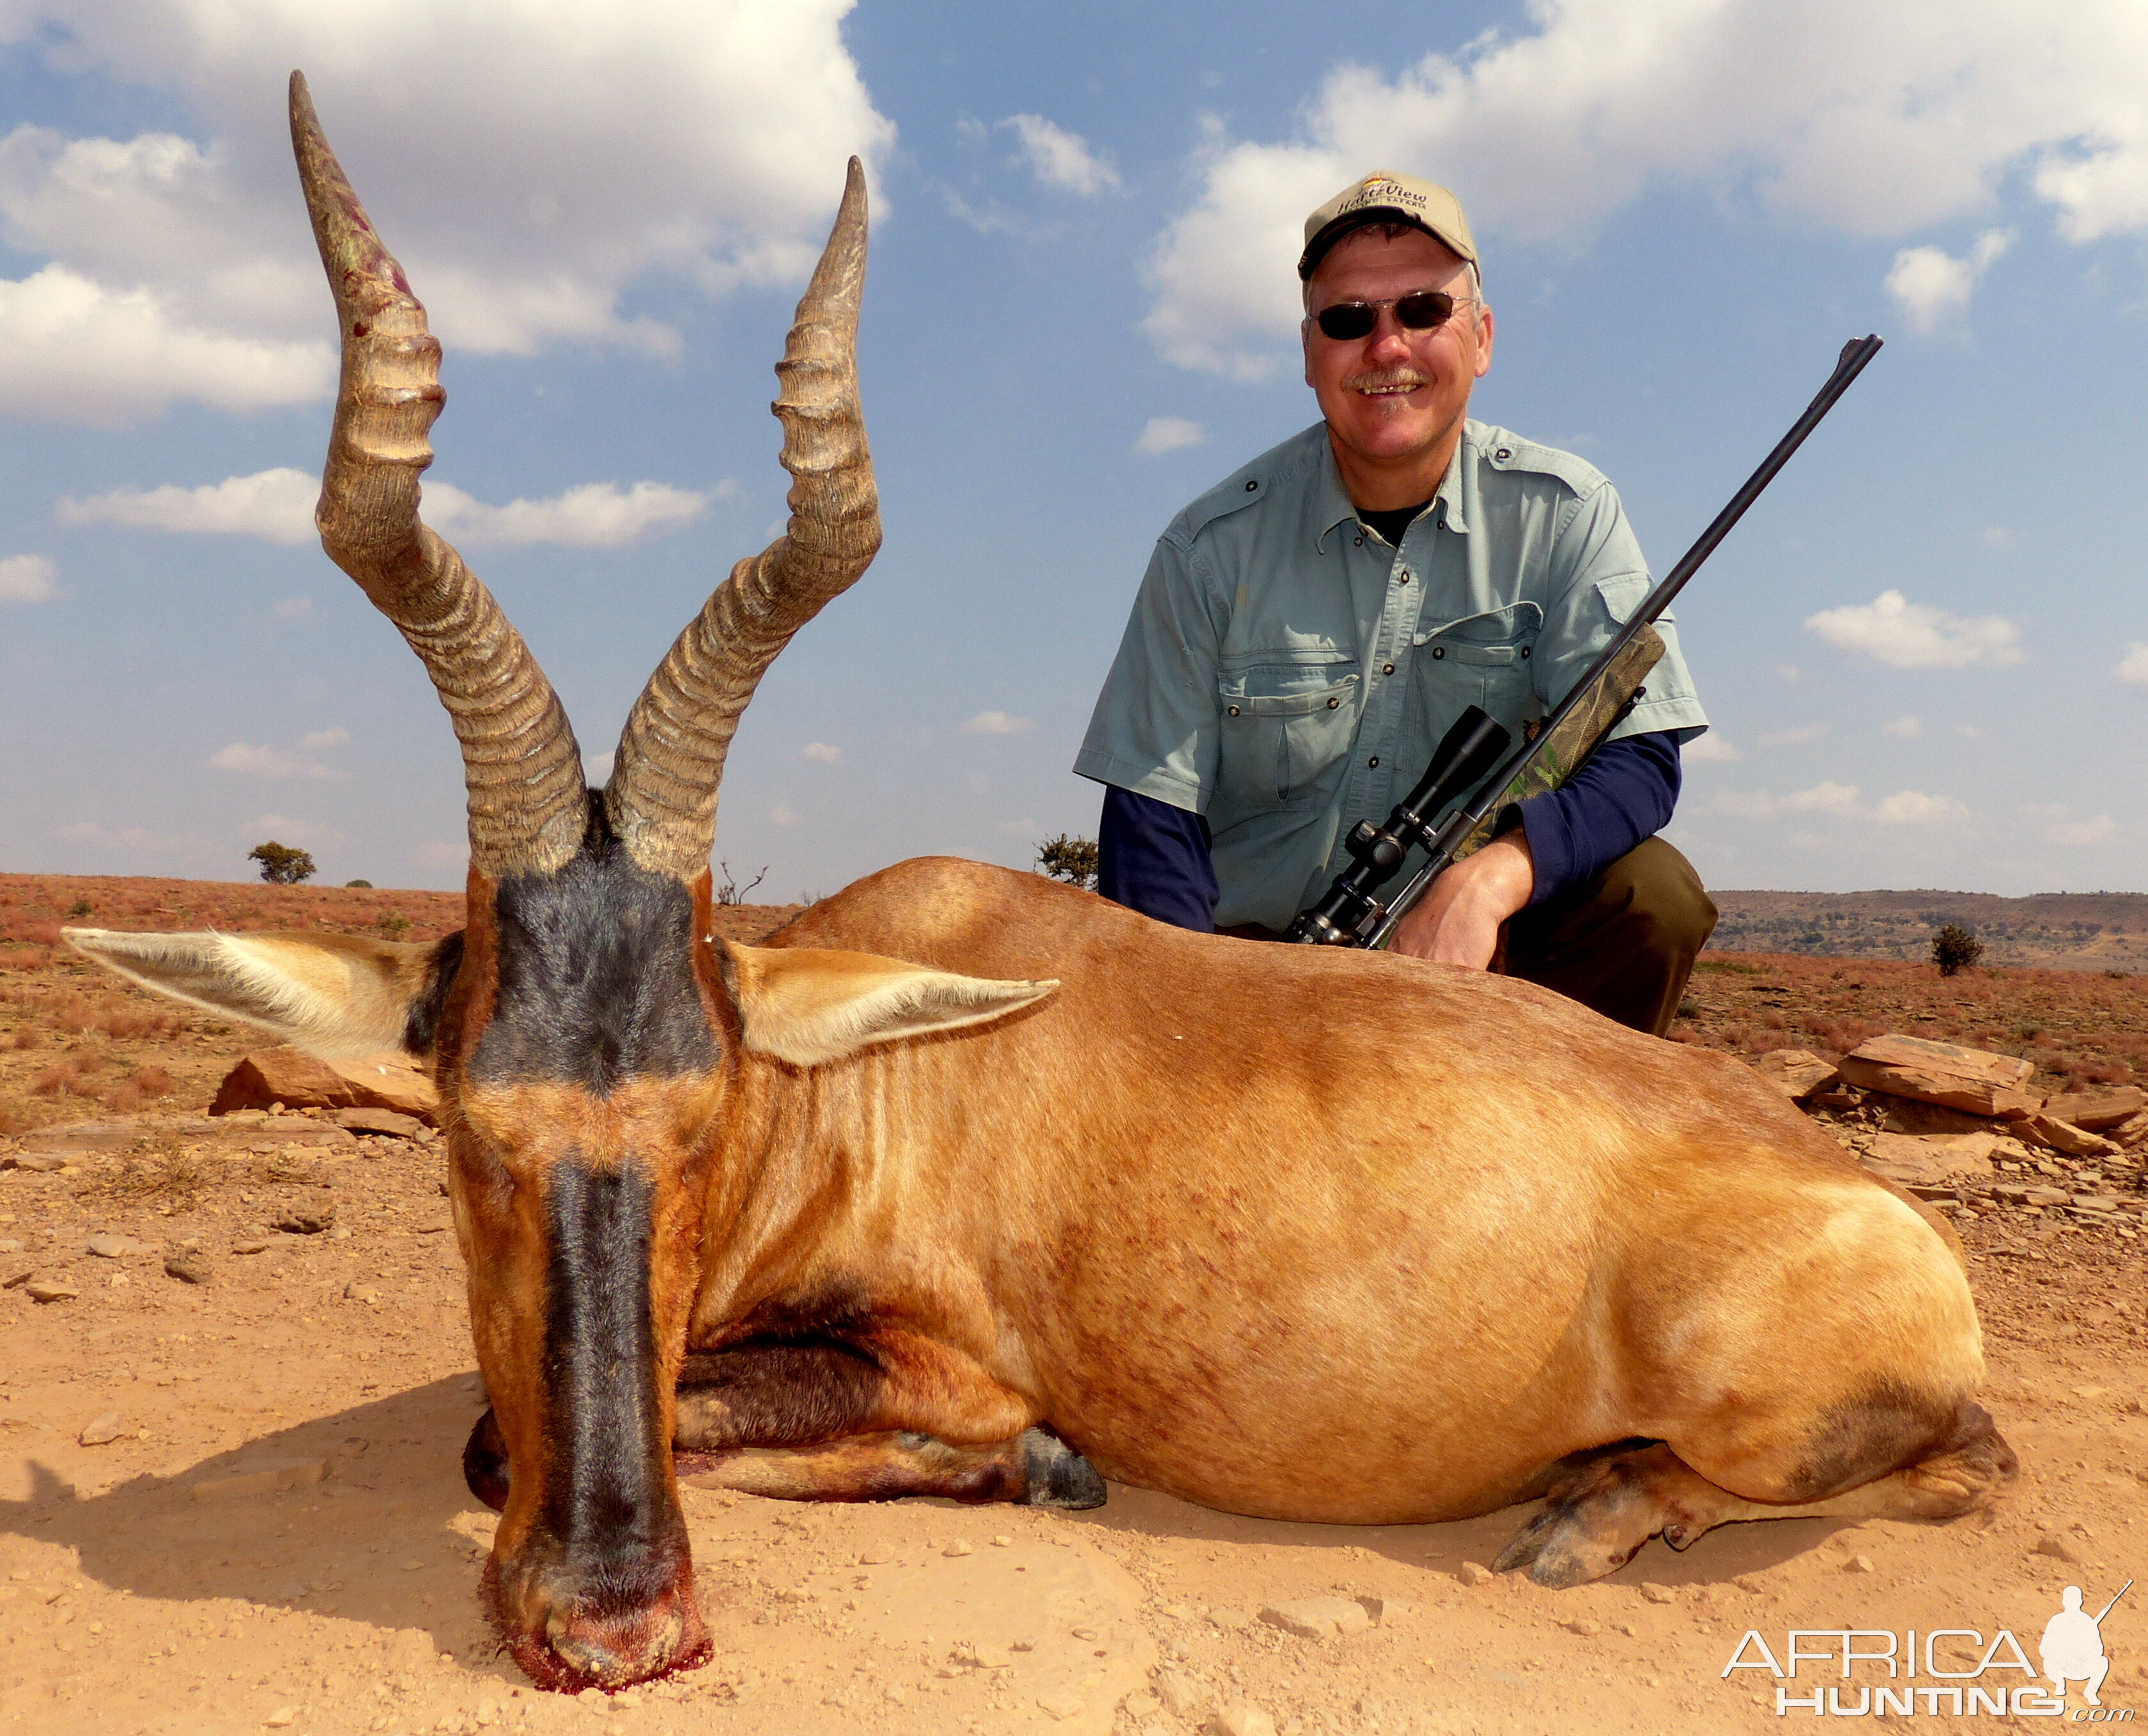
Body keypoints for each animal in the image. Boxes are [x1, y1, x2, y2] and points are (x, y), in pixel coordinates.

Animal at [67, 74, 2010, 1684]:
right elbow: (498, 1425)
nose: (615, 1627)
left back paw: (1594, 1506)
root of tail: (1890, 1220)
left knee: (1965, 1463)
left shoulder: (935, 1352)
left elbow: (558, 1437)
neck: (858, 1079)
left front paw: (1044, 1465)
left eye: (703, 1120)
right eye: (466, 1130)